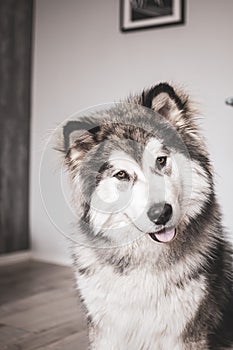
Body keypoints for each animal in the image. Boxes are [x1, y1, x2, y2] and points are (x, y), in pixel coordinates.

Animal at [57, 83, 232, 348]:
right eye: (121, 174)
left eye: (161, 160)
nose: (161, 213)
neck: (144, 262)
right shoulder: (106, 333)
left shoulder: (186, 336)